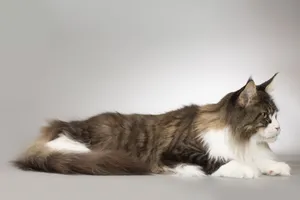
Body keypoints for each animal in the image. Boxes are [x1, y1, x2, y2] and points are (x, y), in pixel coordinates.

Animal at [12, 73, 290, 178]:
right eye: (266, 116)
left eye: (278, 116)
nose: (279, 129)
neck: (238, 138)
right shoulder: (176, 152)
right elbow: (215, 161)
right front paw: (244, 170)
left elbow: (259, 159)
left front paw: (275, 167)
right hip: (83, 142)